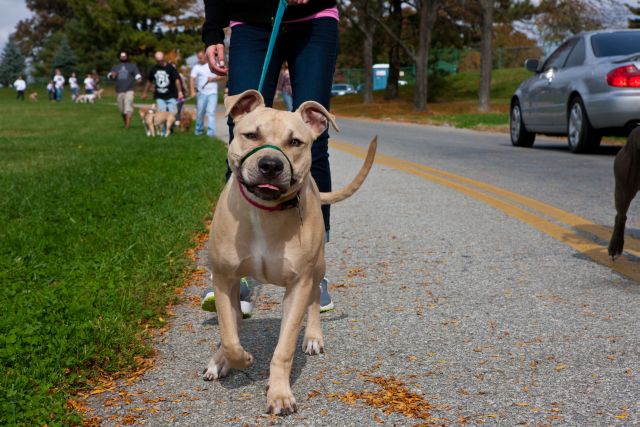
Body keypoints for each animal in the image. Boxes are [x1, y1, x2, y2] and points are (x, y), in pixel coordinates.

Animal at [204, 89, 376, 414]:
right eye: (251, 135)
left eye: (295, 142)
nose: (271, 165)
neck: (265, 212)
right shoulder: (224, 278)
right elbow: (228, 333)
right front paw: (231, 358)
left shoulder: (297, 285)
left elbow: (283, 349)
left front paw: (280, 393)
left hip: (317, 266)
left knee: (314, 300)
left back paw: (313, 337)